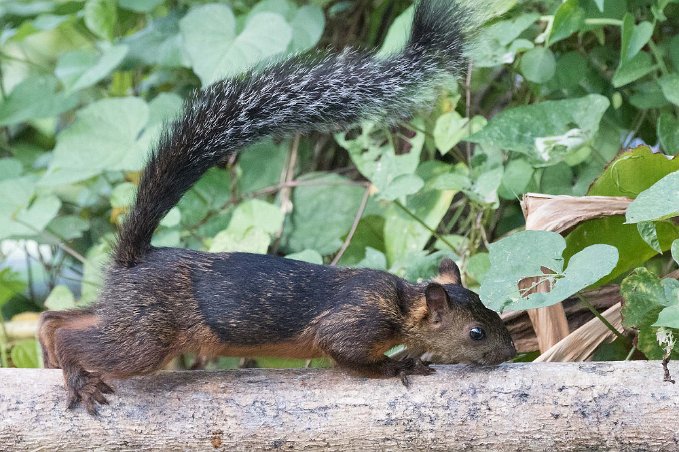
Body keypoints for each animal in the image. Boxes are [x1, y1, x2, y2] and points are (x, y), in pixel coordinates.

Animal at [38, 0, 516, 414]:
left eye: (494, 312)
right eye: (475, 333)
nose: (511, 350)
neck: (400, 304)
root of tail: (136, 258)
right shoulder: (353, 323)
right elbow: (350, 357)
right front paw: (400, 364)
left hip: (124, 316)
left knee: (59, 316)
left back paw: (46, 342)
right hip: (145, 337)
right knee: (83, 342)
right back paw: (76, 377)